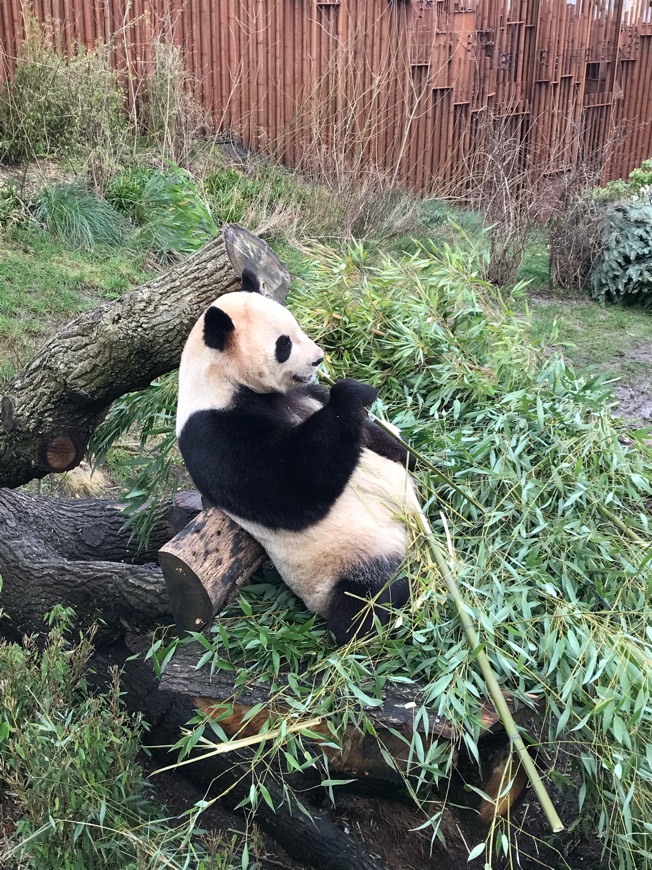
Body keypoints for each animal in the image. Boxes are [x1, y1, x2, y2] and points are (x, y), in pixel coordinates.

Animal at [174, 270, 418, 648]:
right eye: (283, 344)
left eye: (298, 326)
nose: (318, 359)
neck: (224, 380)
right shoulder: (212, 431)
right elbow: (291, 484)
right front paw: (352, 392)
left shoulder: (302, 393)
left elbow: (366, 432)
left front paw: (403, 449)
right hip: (345, 560)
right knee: (367, 599)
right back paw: (380, 610)